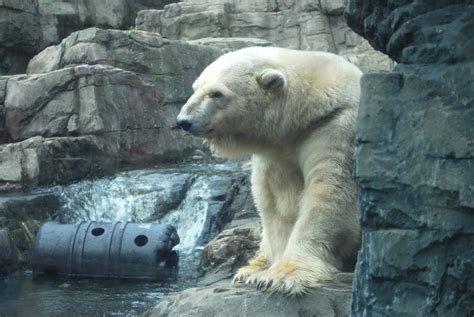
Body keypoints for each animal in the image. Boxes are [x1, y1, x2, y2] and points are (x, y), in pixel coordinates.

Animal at [176, 46, 362, 294]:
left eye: (217, 93)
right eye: (195, 88)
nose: (183, 121)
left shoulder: (336, 127)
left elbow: (329, 194)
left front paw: (282, 275)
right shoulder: (277, 150)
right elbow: (277, 202)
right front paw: (267, 274)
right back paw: (250, 269)